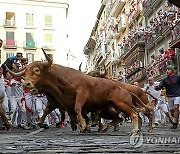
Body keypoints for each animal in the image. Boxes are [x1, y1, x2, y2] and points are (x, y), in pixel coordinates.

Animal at [6, 48, 142, 134]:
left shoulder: (81, 94)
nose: (26, 84)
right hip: (108, 110)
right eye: (25, 72)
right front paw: (82, 126)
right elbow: (56, 112)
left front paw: (83, 125)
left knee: (134, 114)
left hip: (121, 104)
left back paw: (134, 130)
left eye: (37, 70)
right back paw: (106, 127)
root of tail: (122, 88)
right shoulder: (63, 103)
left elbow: (78, 109)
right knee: (119, 118)